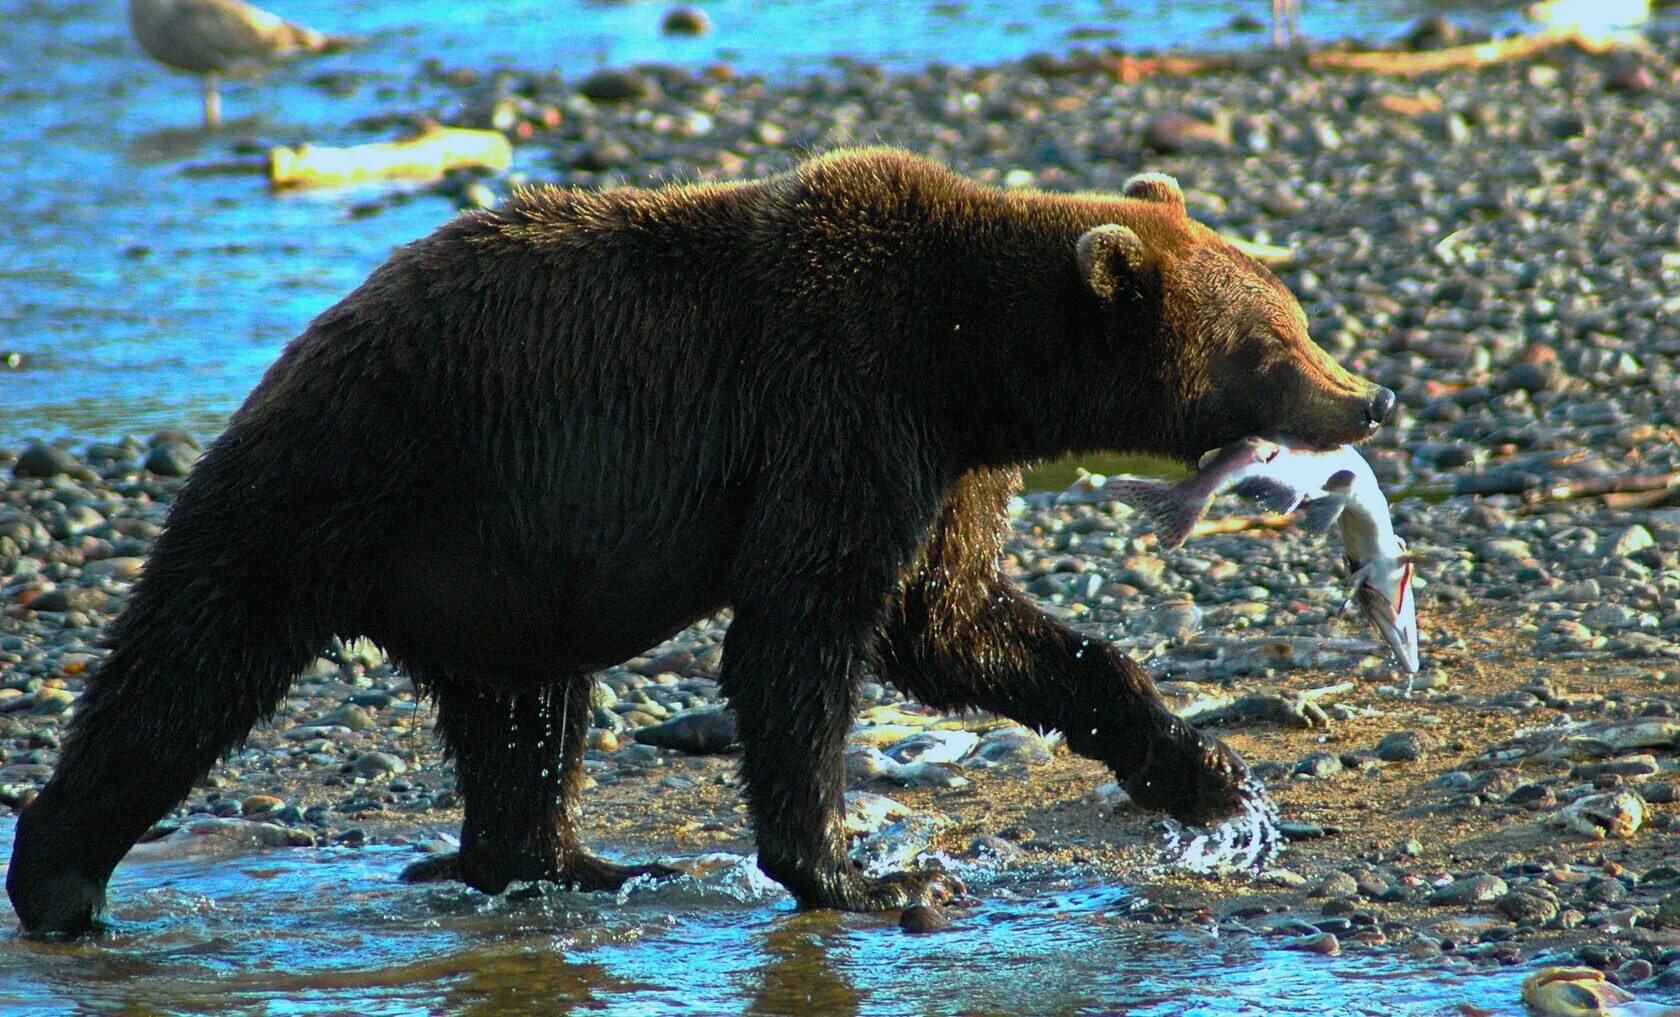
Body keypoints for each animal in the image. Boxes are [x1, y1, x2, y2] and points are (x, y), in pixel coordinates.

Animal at [6, 147, 1391, 934]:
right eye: (1269, 341)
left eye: (1295, 312)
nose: (1367, 396)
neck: (972, 364)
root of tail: (298, 352)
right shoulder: (838, 401)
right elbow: (802, 632)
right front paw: (869, 874)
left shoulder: (943, 466)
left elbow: (957, 626)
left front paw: (1215, 783)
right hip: (348, 479)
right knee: (189, 661)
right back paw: (62, 880)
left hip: (500, 567)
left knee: (525, 715)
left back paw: (572, 865)